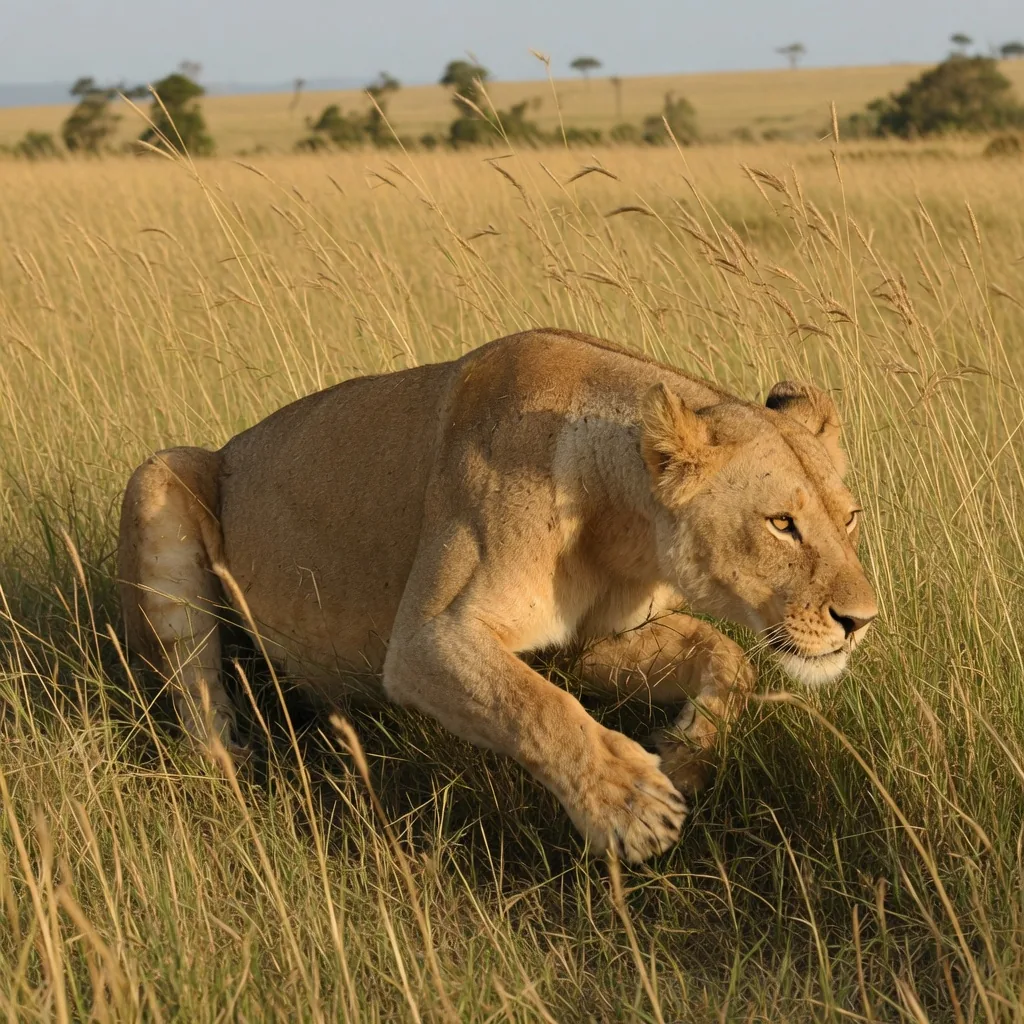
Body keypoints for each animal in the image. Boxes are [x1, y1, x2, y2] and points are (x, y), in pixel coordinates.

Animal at [117, 328, 877, 863]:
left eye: (848, 519)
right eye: (781, 524)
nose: (860, 621)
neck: (624, 532)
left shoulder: (590, 646)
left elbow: (727, 657)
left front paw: (685, 754)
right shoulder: (427, 639)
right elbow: (536, 706)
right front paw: (631, 807)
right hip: (162, 474)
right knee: (196, 691)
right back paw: (236, 772)